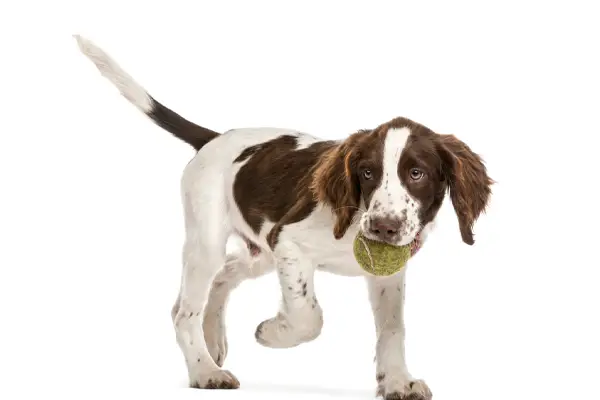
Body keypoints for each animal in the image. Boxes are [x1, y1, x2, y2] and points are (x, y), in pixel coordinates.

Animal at [74, 35, 492, 400]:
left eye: (417, 173)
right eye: (367, 173)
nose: (383, 227)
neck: (355, 218)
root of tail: (213, 138)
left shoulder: (386, 273)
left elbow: (392, 328)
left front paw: (398, 382)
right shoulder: (288, 242)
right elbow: (309, 316)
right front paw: (272, 332)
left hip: (258, 252)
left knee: (224, 276)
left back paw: (213, 340)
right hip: (209, 240)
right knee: (183, 309)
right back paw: (204, 370)